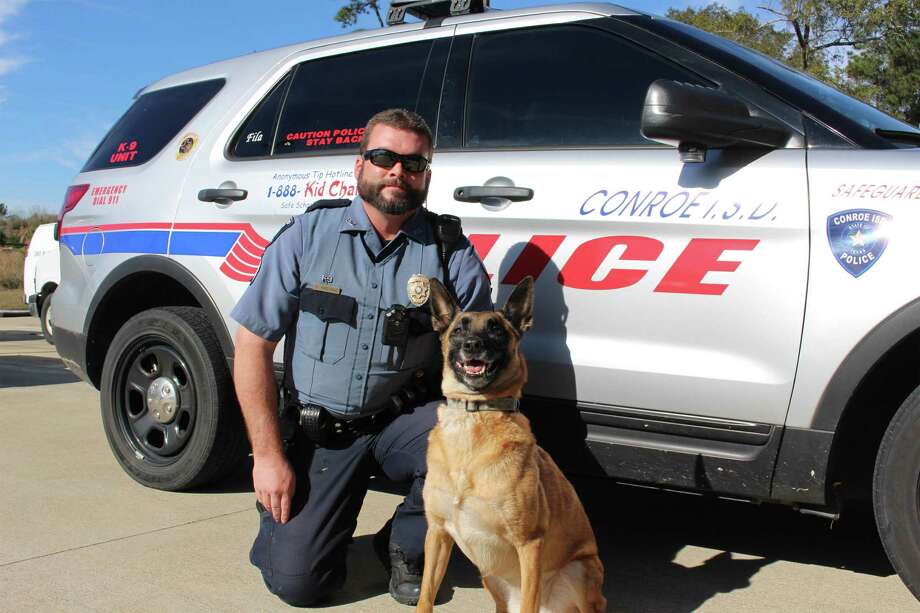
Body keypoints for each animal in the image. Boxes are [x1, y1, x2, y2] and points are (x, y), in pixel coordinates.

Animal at [416, 278, 604, 612]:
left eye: (496, 330)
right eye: (459, 330)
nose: (472, 345)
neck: (474, 418)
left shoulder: (529, 543)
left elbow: (530, 600)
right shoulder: (437, 534)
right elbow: (426, 596)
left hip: (580, 570)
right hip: (490, 577)